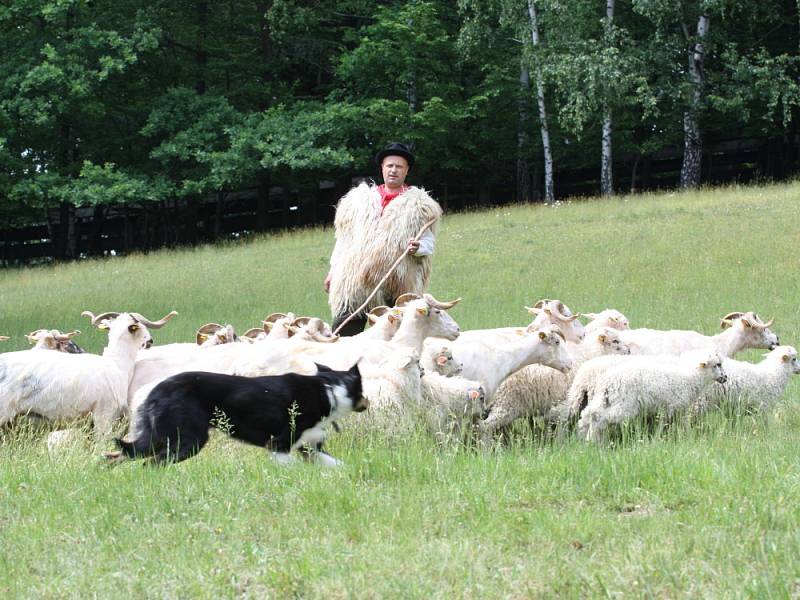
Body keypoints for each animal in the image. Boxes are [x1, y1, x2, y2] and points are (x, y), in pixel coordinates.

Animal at [108, 364, 368, 466]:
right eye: (363, 391)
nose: (368, 402)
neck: (330, 390)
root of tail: (155, 390)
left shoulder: (310, 448)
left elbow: (339, 466)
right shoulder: (279, 445)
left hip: (158, 438)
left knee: (119, 455)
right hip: (188, 441)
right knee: (151, 463)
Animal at [580, 352, 728, 440]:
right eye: (717, 365)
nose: (725, 377)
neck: (691, 378)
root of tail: (606, 382)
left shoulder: (669, 408)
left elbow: (666, 423)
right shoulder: (674, 406)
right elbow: (678, 423)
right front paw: (689, 437)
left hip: (605, 399)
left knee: (589, 414)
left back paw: (586, 438)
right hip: (624, 404)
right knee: (600, 417)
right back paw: (592, 439)